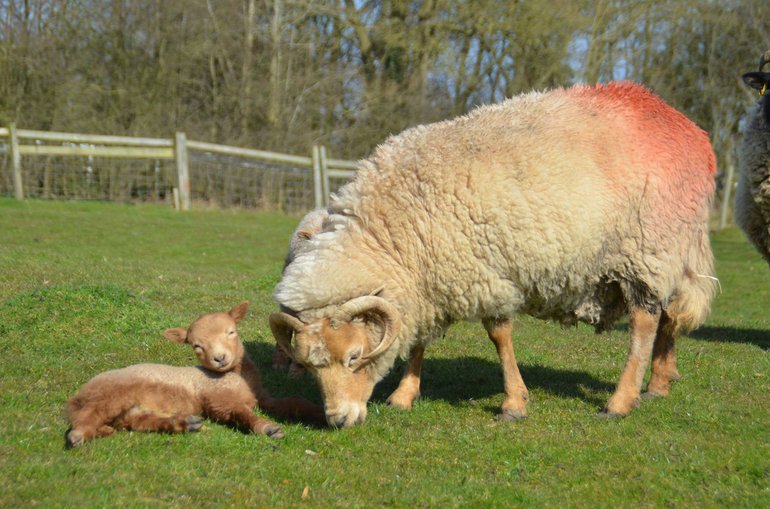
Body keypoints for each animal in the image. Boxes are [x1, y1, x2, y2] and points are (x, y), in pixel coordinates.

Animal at [66, 302, 323, 447]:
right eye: (196, 346)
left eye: (232, 332)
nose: (220, 358)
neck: (236, 378)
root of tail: (80, 393)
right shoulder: (218, 400)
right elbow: (241, 413)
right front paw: (268, 428)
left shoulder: (261, 397)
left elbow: (293, 402)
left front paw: (319, 412)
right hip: (111, 394)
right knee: (89, 414)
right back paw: (77, 435)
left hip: (131, 411)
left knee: (140, 422)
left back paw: (183, 423)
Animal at [269, 81, 718, 428]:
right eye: (307, 365)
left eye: (355, 356)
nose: (338, 421)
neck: (395, 234)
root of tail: (690, 129)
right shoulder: (429, 280)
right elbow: (419, 340)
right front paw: (404, 395)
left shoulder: (485, 270)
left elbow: (499, 336)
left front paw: (513, 403)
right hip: (668, 251)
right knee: (671, 314)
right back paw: (659, 382)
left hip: (648, 249)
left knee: (645, 322)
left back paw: (621, 401)